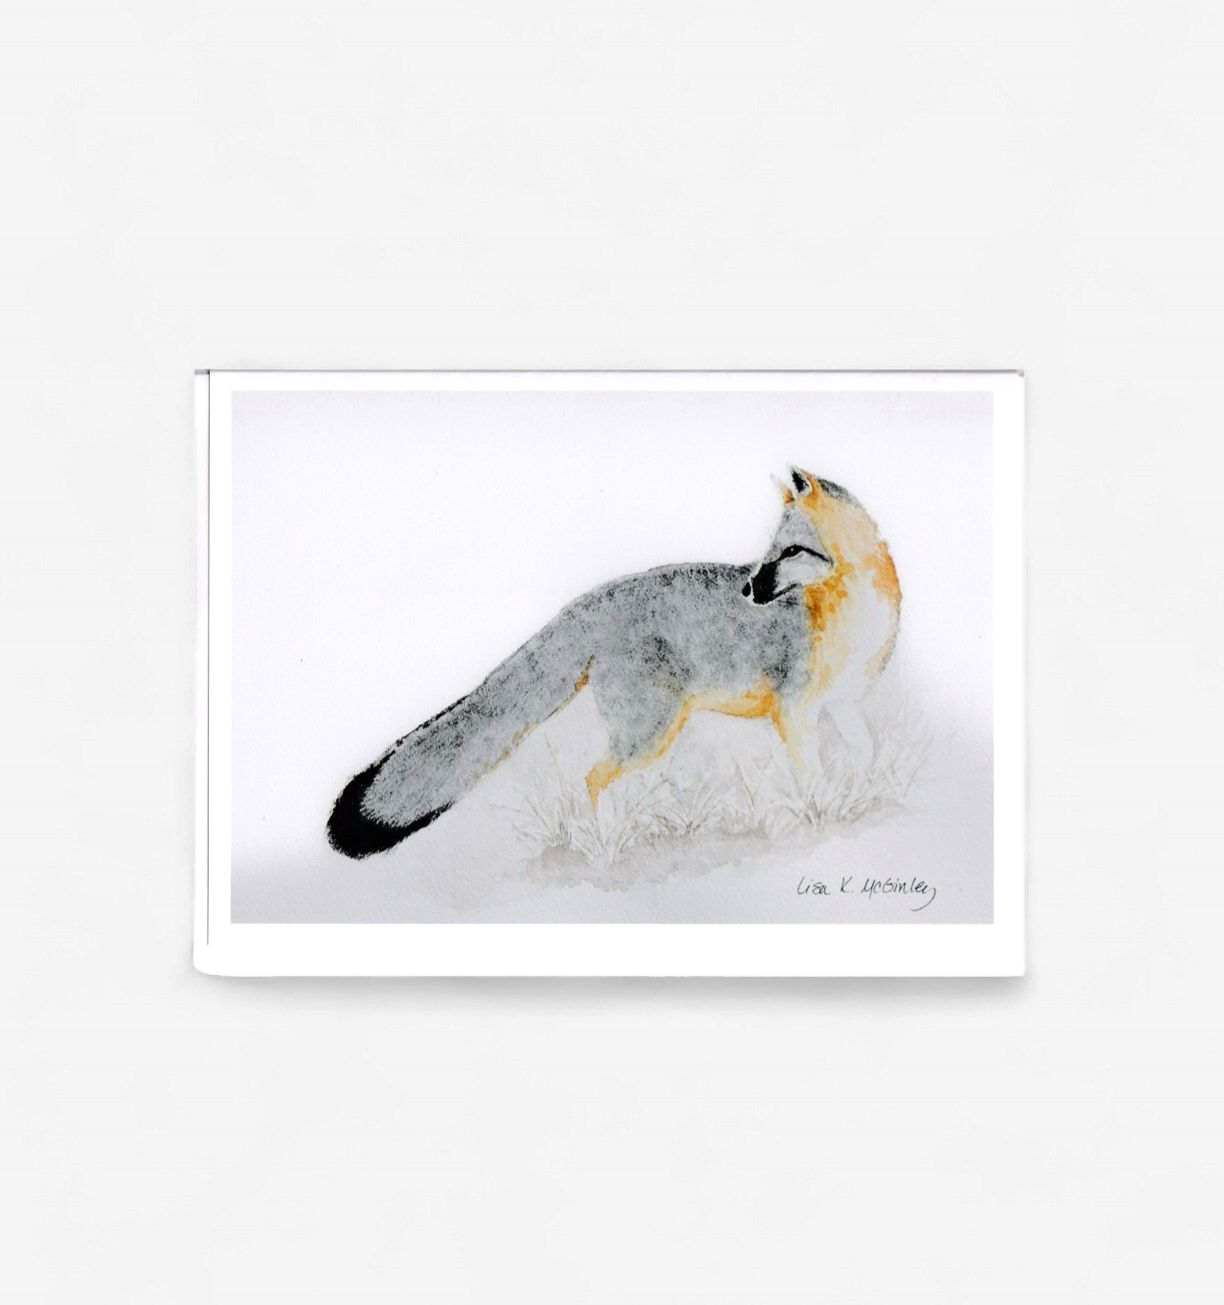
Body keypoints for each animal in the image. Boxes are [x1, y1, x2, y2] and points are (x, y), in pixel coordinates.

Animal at [327, 467, 901, 859]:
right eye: (769, 551)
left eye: (791, 552)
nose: (747, 589)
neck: (851, 616)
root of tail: (590, 599)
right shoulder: (795, 713)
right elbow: (813, 779)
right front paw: (822, 820)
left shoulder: (844, 706)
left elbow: (868, 753)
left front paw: (868, 796)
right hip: (650, 731)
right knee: (592, 777)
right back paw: (608, 840)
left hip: (657, 736)